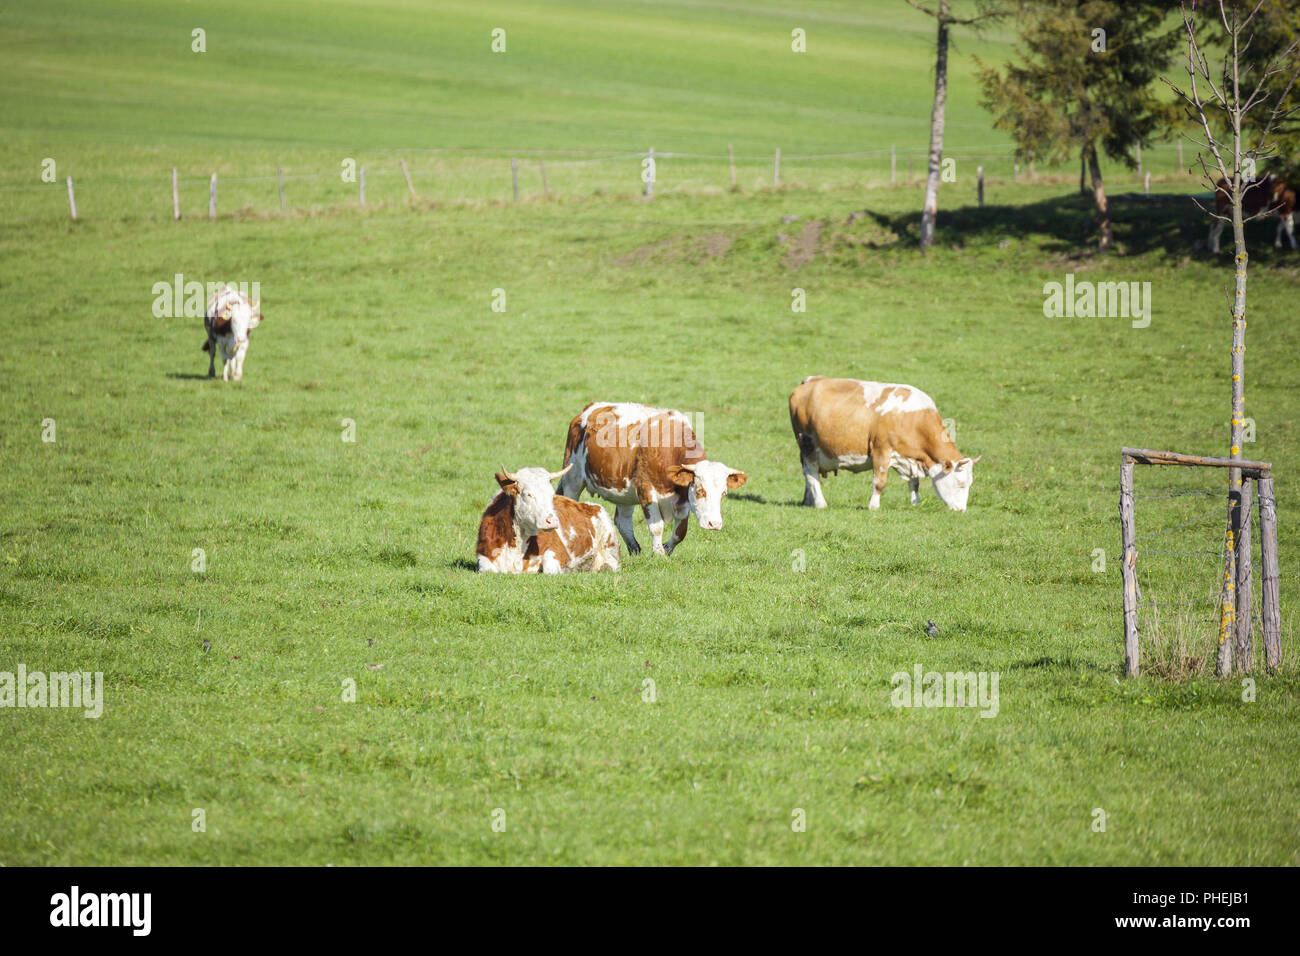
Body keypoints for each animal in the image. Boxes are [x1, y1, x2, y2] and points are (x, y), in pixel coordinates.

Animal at [476, 465, 621, 574]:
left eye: (552, 494)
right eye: (528, 494)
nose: (552, 521)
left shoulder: (557, 551)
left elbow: (549, 568)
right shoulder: (483, 555)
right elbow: (488, 569)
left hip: (610, 542)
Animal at [559, 402, 747, 556]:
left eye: (723, 494)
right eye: (700, 491)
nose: (714, 524)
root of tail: (589, 408)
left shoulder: (684, 499)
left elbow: (680, 532)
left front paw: (666, 549)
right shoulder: (646, 490)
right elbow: (657, 527)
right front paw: (659, 553)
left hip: (623, 492)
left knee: (623, 521)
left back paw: (635, 550)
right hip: (572, 479)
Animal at [789, 376, 980, 512]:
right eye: (960, 483)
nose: (962, 510)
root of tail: (811, 380)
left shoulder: (909, 458)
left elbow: (914, 483)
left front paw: (916, 503)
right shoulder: (881, 451)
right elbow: (879, 482)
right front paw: (874, 506)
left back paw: (808, 501)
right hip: (807, 444)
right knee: (811, 473)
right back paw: (820, 503)